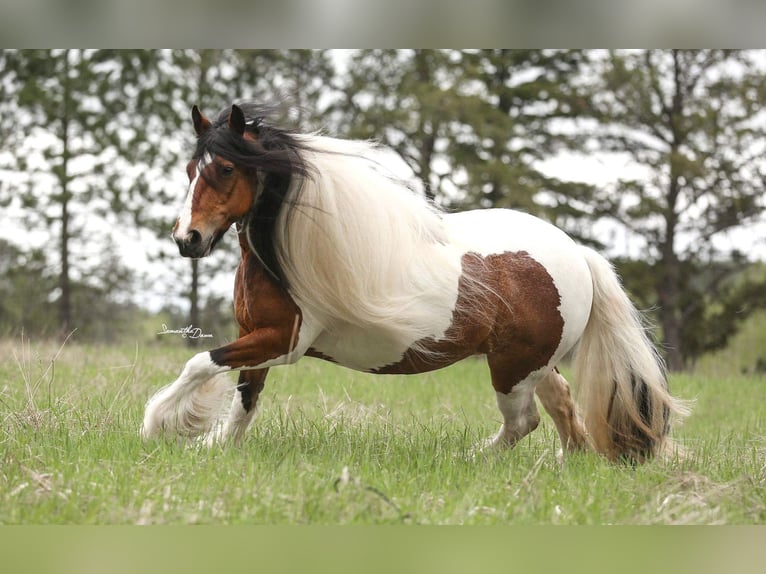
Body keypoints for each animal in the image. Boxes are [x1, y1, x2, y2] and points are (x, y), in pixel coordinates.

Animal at [141, 102, 692, 464]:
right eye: (190, 169)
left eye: (225, 168)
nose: (187, 240)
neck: (287, 255)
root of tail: (578, 254)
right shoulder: (258, 338)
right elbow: (243, 399)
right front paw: (214, 445)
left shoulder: (283, 341)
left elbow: (199, 362)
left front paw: (158, 425)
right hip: (535, 362)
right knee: (564, 412)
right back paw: (559, 466)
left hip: (511, 369)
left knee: (524, 421)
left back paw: (471, 459)